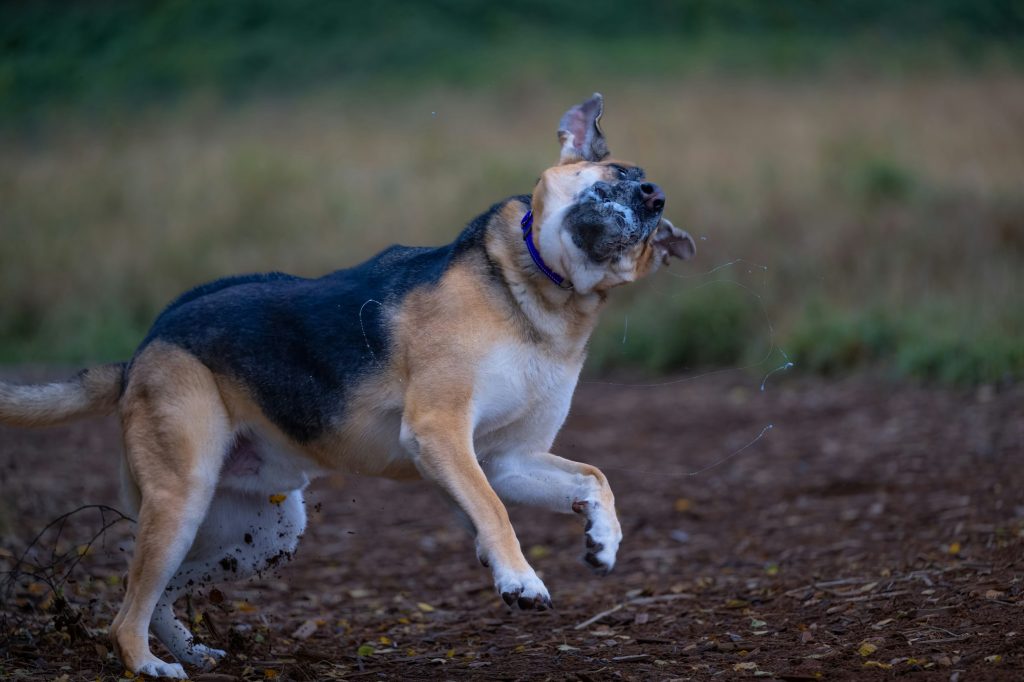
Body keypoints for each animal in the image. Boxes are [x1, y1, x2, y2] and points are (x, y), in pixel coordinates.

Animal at [0, 94, 696, 675]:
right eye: (618, 176)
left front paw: (602, 541)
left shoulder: (508, 458)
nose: (655, 196)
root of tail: (141, 351)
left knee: (158, 595)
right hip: (182, 499)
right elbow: (493, 511)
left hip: (259, 533)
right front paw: (519, 580)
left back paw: (189, 651)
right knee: (125, 611)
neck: (541, 294)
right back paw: (148, 665)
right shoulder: (442, 433)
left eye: (654, 207)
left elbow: (594, 479)